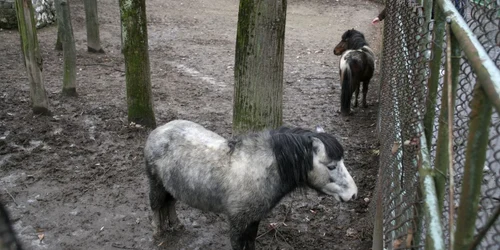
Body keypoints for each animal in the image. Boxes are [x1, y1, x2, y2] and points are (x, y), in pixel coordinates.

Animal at [143, 120, 358, 249]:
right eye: (331, 166)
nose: (354, 194)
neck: (257, 170)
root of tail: (158, 131)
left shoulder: (254, 219)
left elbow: (251, 242)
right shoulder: (237, 223)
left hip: (170, 185)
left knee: (170, 203)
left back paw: (176, 225)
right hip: (156, 183)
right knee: (156, 205)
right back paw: (157, 232)